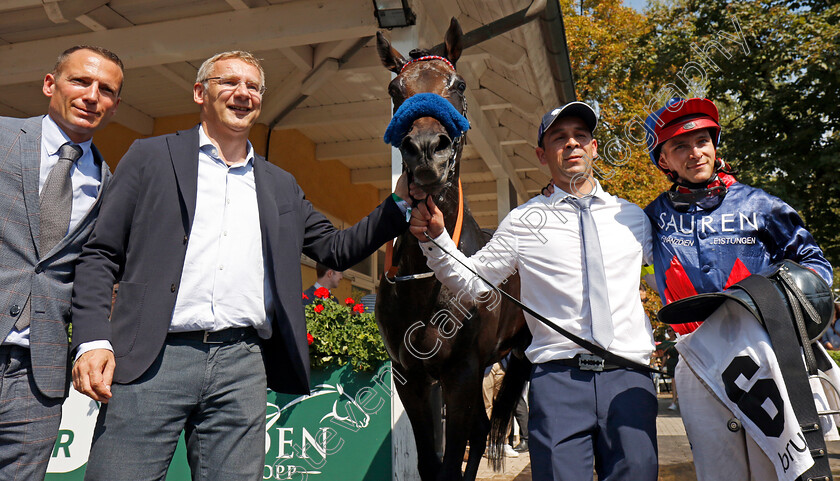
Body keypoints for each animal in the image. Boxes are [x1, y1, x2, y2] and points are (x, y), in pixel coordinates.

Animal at [376, 19, 528, 480]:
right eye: (395, 89)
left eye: (458, 84)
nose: (428, 149)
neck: (429, 282)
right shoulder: (411, 378)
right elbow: (431, 464)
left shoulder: (459, 374)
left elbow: (449, 462)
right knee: (481, 431)